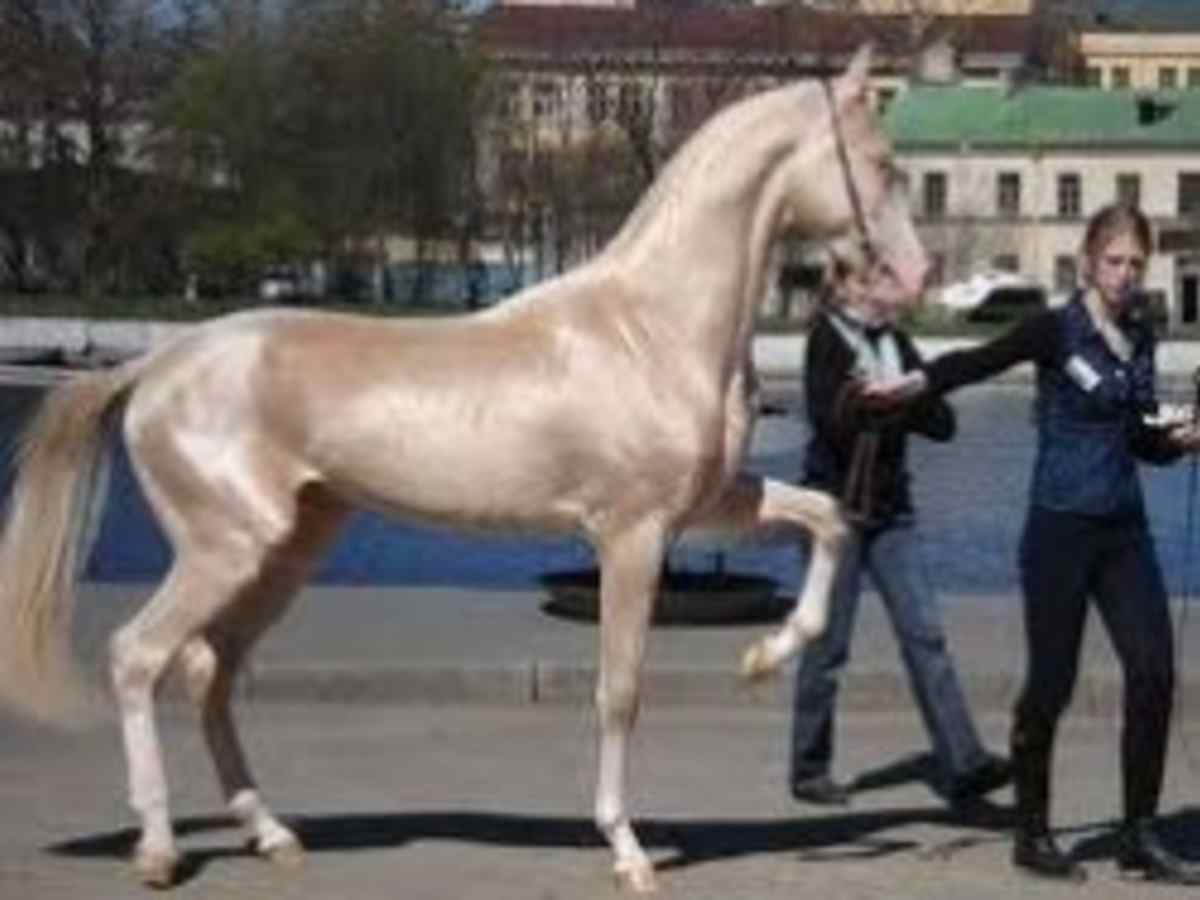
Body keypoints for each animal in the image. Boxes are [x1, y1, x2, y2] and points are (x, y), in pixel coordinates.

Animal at [0, 45, 927, 893]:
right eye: (883, 164)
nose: (916, 277)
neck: (652, 327)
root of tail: (155, 367)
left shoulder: (711, 506)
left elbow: (828, 520)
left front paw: (766, 656)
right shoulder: (634, 535)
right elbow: (620, 688)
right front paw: (627, 850)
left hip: (284, 553)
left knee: (210, 672)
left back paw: (272, 835)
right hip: (224, 550)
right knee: (137, 656)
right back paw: (158, 850)